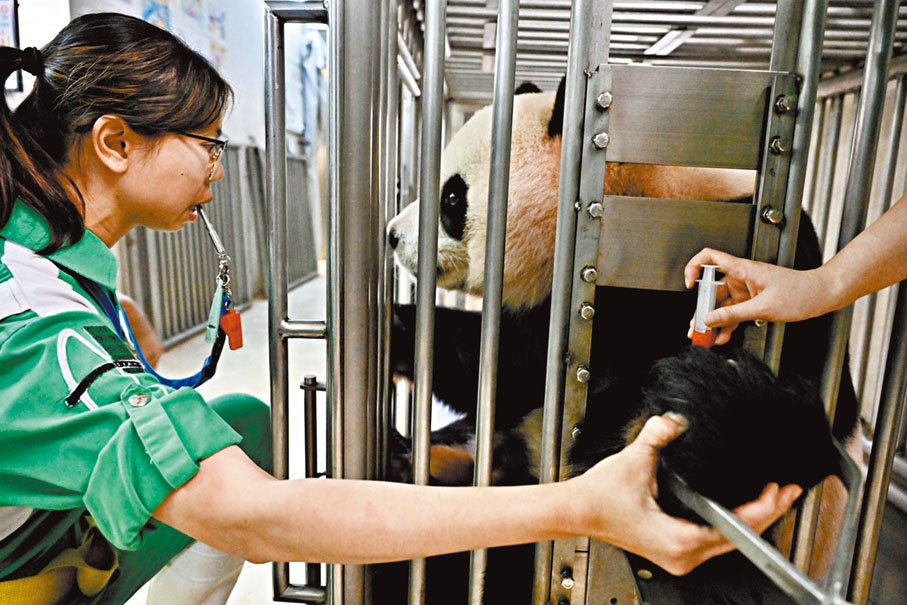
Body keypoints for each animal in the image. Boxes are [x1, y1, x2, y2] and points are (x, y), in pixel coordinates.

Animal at [382, 79, 860, 603]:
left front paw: (708, 403)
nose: (392, 236)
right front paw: (397, 328)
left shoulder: (754, 285)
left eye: (452, 196)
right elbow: (506, 371)